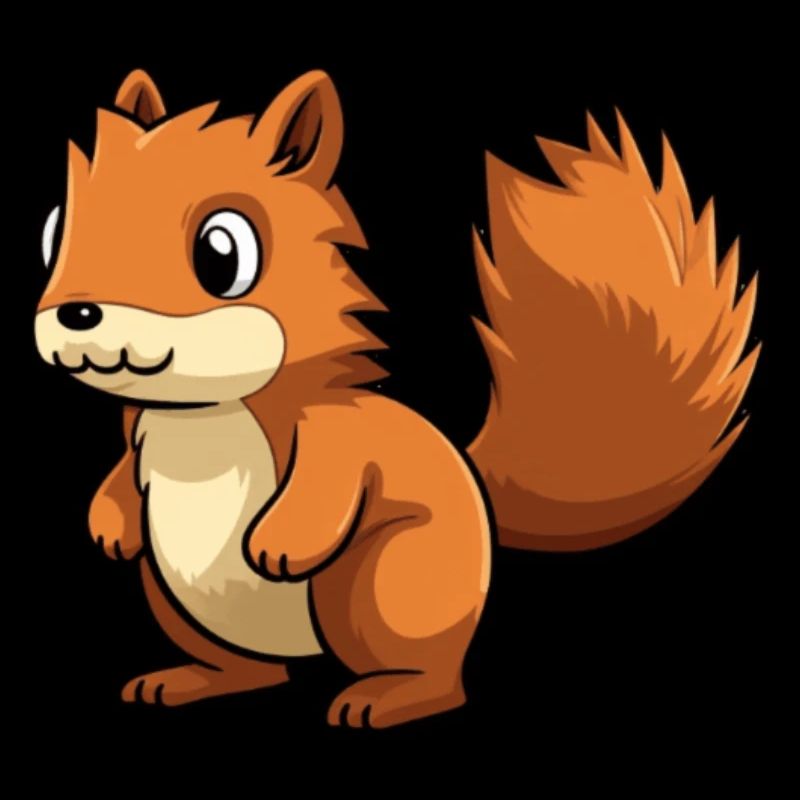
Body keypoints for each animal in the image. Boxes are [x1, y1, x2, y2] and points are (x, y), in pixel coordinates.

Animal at [34, 69, 759, 729]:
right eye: (54, 234)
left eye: (222, 252)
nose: (77, 313)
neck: (205, 411)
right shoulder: (137, 432)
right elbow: (121, 476)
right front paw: (107, 525)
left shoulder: (336, 432)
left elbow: (331, 480)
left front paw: (278, 544)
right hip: (167, 591)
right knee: (255, 672)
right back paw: (194, 679)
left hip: (380, 585)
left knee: (437, 681)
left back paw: (386, 699)